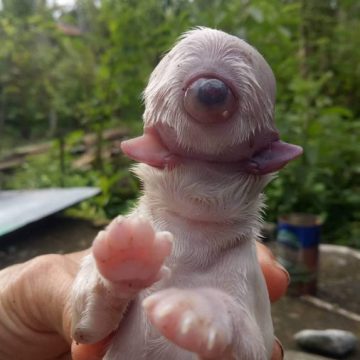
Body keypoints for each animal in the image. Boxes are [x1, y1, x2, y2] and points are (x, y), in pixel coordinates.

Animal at [70, 26, 300, 358]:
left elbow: (253, 344)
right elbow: (86, 326)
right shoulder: (88, 319)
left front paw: (202, 307)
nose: (211, 88)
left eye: (248, 58)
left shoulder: (249, 284)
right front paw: (128, 254)